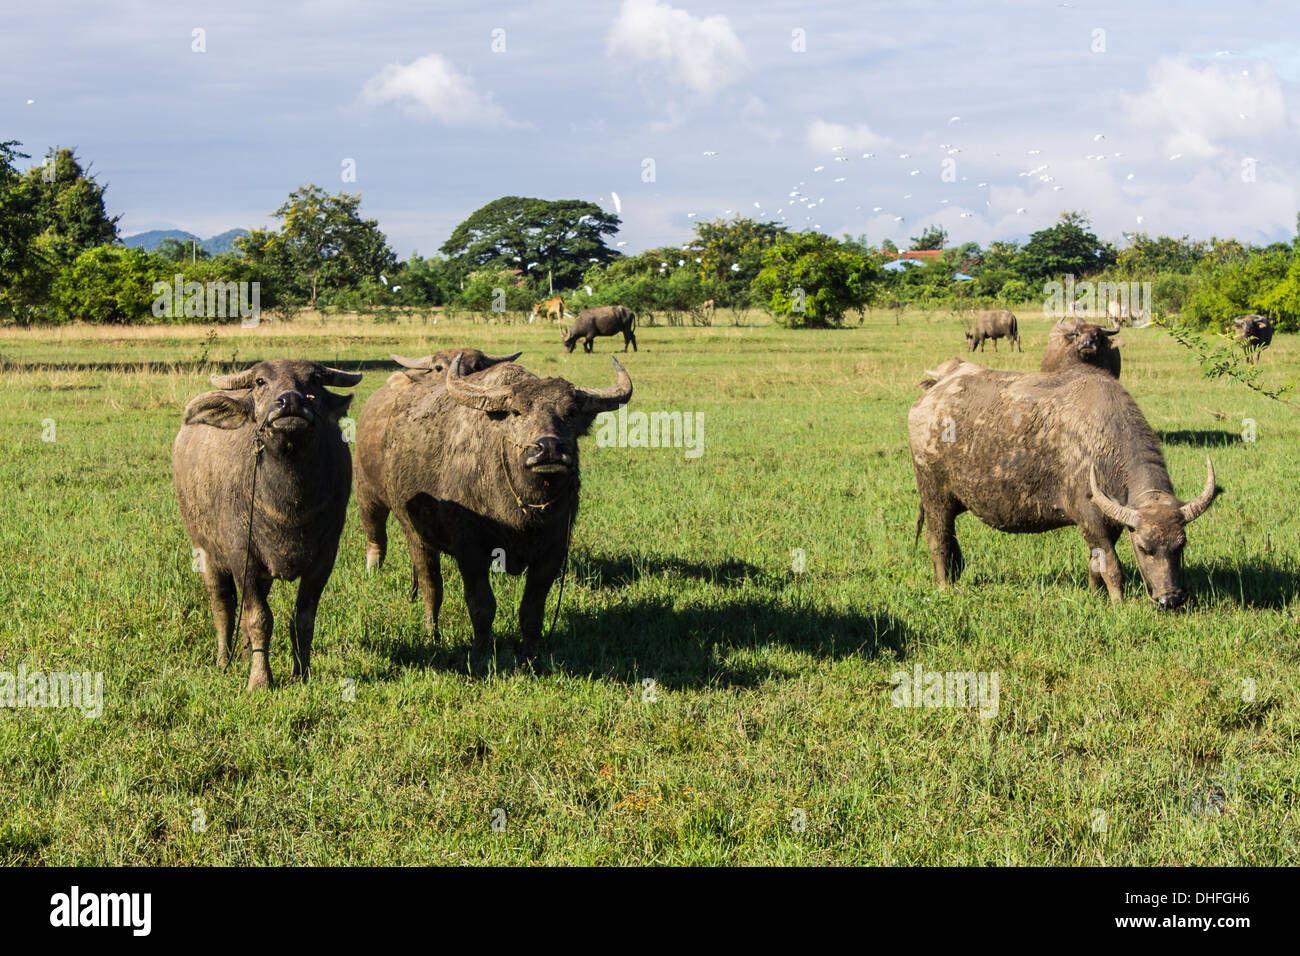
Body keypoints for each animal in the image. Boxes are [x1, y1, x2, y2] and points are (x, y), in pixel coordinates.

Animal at [172, 358, 364, 686]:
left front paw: (302, 673)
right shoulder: (243, 557)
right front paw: (260, 679)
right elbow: (258, 618)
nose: (290, 402)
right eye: (260, 382)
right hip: (205, 550)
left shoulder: (324, 559)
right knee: (222, 605)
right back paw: (223, 660)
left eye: (314, 379)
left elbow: (303, 619)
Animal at [909, 358, 1222, 613]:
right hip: (934, 496)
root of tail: (930, 395)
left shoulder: (1110, 524)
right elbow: (1112, 566)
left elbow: (1096, 564)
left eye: (1181, 546)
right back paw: (944, 586)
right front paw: (1118, 603)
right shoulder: (1090, 520)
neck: (1100, 442)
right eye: (1144, 548)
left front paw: (1096, 596)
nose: (1171, 599)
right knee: (938, 541)